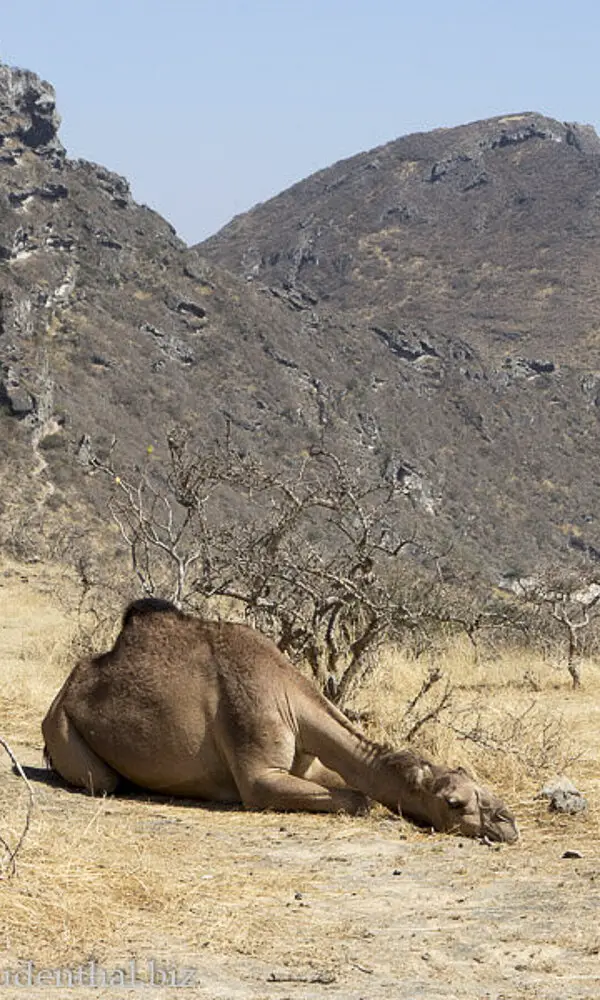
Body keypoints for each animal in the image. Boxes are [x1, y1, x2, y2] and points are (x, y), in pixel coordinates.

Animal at [42, 600, 516, 844]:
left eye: (480, 785)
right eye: (454, 802)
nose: (507, 823)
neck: (289, 700)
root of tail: (64, 691)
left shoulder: (306, 762)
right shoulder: (259, 776)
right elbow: (360, 799)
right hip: (65, 731)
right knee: (104, 780)